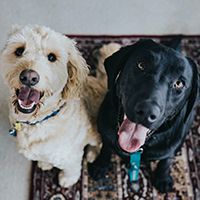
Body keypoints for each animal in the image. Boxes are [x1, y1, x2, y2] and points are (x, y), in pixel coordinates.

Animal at [0, 25, 119, 188]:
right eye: (19, 50)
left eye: (52, 57)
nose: (29, 77)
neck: (39, 121)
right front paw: (45, 163)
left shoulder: (71, 155)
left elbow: (72, 169)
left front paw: (67, 180)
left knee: (98, 143)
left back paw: (92, 153)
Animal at [89, 38, 200, 193]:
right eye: (141, 65)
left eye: (179, 83)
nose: (147, 111)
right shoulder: (105, 130)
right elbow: (106, 147)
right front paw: (101, 164)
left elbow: (166, 160)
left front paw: (163, 178)